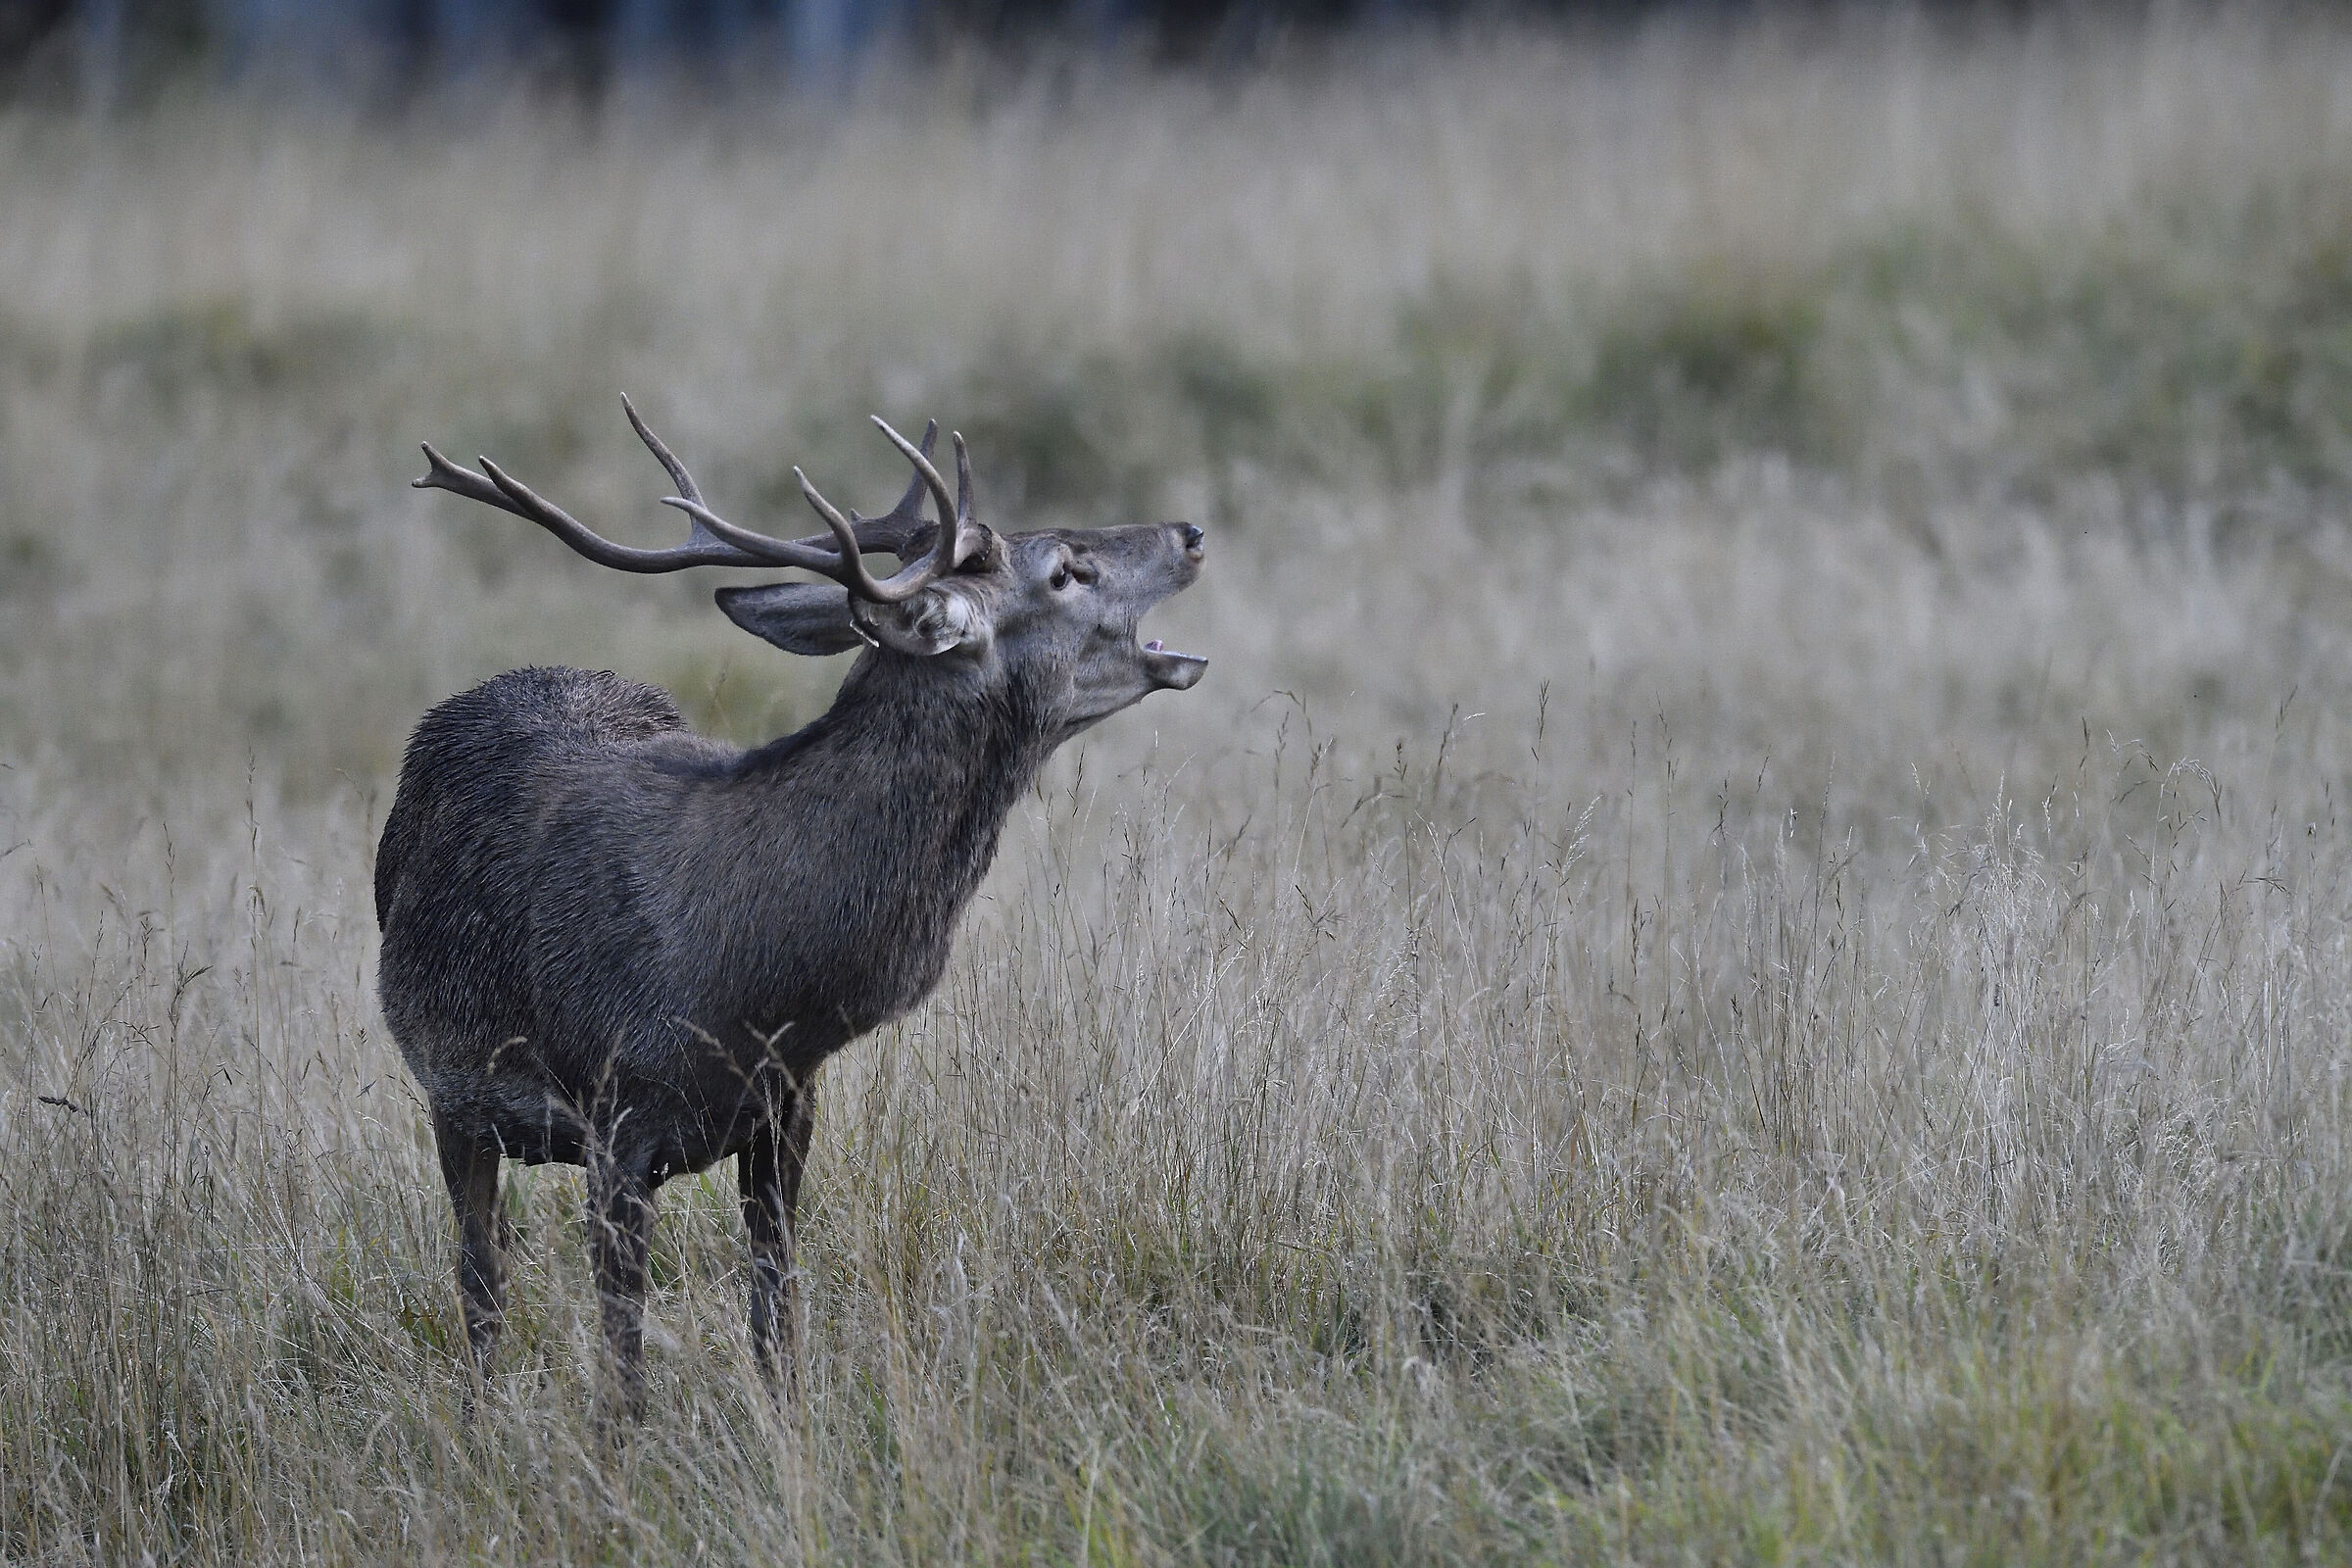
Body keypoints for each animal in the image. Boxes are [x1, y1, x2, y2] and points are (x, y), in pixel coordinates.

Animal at [374, 400, 1207, 1417]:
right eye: (1065, 569)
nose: (1190, 532)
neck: (757, 983)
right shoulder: (614, 1118)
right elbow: (622, 1361)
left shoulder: (790, 1107)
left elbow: (777, 1316)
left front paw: (788, 1428)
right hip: (450, 1093)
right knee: (480, 1282)